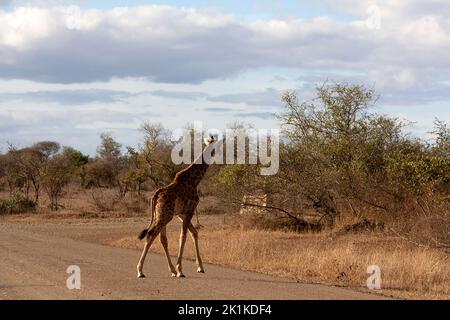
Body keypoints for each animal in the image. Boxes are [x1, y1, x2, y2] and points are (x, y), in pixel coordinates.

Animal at [137, 134, 220, 278]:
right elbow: (183, 237)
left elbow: (194, 233)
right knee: (151, 235)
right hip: (164, 216)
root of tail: (155, 196)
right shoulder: (189, 210)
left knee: (162, 238)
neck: (195, 180)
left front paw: (200, 267)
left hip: (163, 215)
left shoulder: (181, 213)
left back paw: (171, 270)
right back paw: (140, 271)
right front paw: (180, 270)